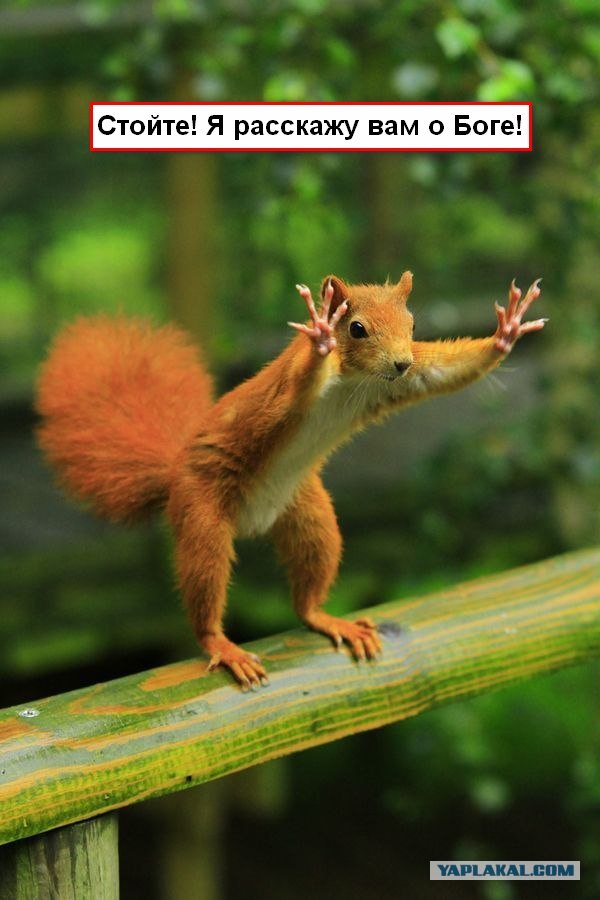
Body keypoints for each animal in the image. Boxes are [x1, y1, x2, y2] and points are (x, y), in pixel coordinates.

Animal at [36, 273, 545, 689]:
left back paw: (326, 618)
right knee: (204, 583)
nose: (400, 362)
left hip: (309, 514)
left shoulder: (402, 382)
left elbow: (443, 371)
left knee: (307, 590)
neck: (354, 380)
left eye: (413, 324)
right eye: (356, 328)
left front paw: (506, 333)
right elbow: (298, 385)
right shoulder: (286, 392)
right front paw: (320, 334)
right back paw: (221, 645)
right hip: (202, 513)